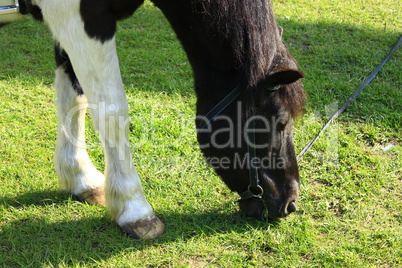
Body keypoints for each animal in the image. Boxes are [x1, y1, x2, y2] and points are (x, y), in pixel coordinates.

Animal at [0, 0, 304, 239]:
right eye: (280, 123)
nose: (290, 202)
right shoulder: (82, 21)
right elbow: (112, 110)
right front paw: (135, 210)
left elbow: (75, 98)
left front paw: (80, 177)